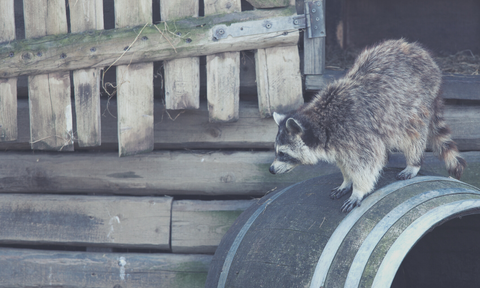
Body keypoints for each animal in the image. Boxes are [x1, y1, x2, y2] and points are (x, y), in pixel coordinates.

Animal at [272, 39, 466, 213]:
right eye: (276, 151)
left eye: (282, 153)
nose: (271, 169)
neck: (321, 121)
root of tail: (421, 53)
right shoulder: (340, 143)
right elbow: (345, 162)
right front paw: (346, 180)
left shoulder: (357, 132)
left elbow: (366, 163)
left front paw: (358, 190)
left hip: (415, 104)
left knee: (412, 135)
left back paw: (414, 162)